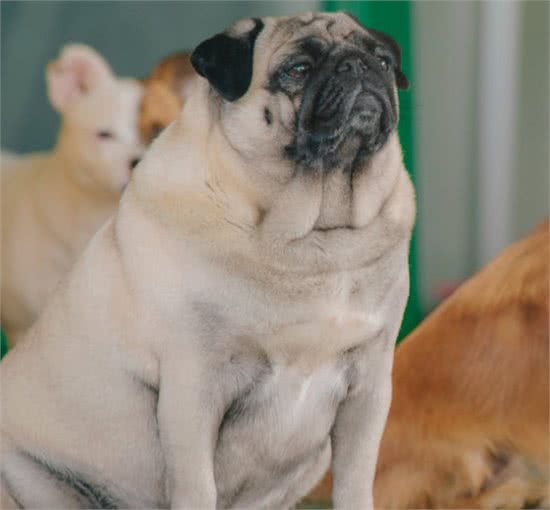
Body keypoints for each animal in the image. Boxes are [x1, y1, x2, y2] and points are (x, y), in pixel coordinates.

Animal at [0, 12, 414, 510]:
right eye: (297, 69)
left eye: (382, 60)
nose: (358, 66)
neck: (312, 234)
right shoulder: (193, 389)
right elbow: (197, 486)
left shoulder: (369, 386)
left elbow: (355, 480)